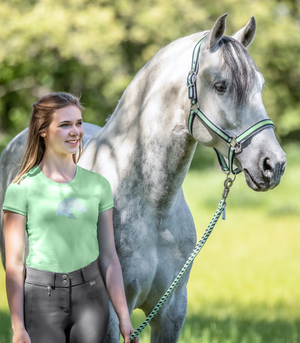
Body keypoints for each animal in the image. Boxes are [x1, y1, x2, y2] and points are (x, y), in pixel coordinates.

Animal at [0, 14, 286, 343]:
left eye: (260, 85)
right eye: (221, 85)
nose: (274, 164)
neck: (153, 207)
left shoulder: (171, 312)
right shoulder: (111, 314)